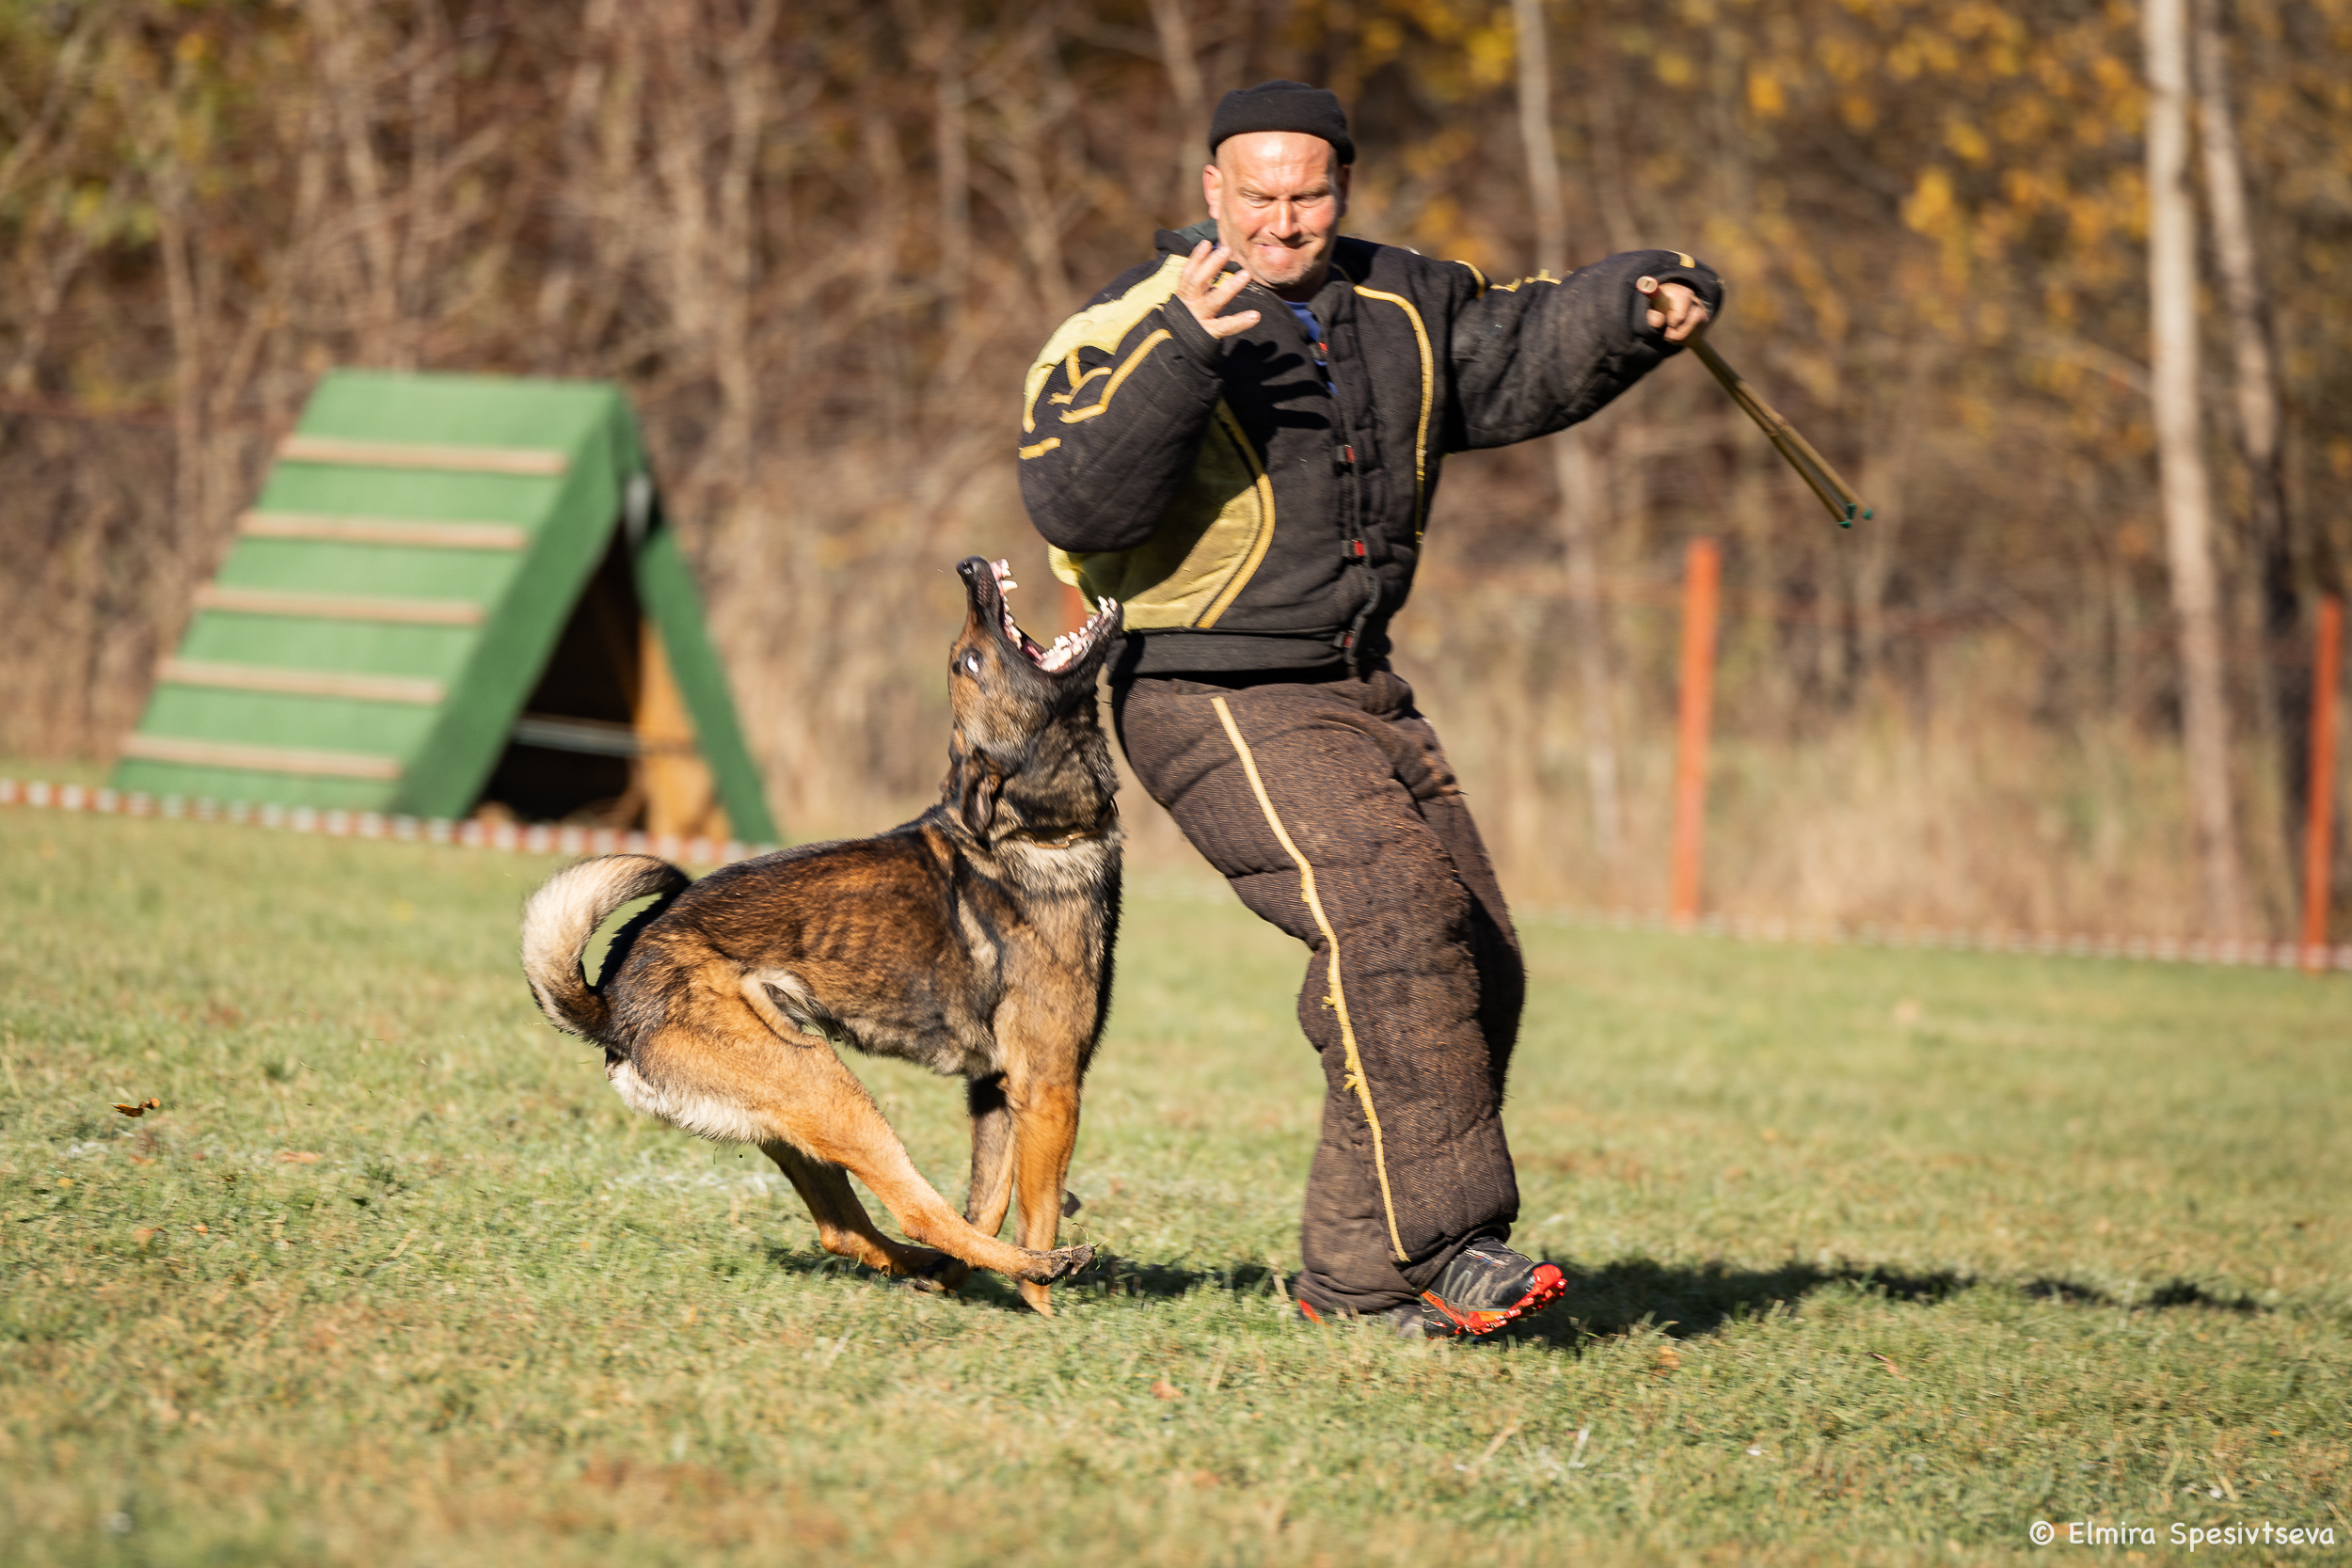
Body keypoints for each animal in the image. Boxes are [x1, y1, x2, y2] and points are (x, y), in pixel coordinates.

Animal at [522, 557, 1120, 1316]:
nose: (971, 569)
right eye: (968, 659)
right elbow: (1032, 1207)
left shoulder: (994, 1089)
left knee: (849, 1227)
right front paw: (1041, 1313)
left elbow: (986, 1201)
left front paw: (961, 1284)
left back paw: (931, 1269)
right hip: (828, 1085)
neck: (1031, 829)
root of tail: (609, 1004)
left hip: (796, 1104)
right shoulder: (1049, 1089)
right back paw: (1045, 1264)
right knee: (915, 1209)